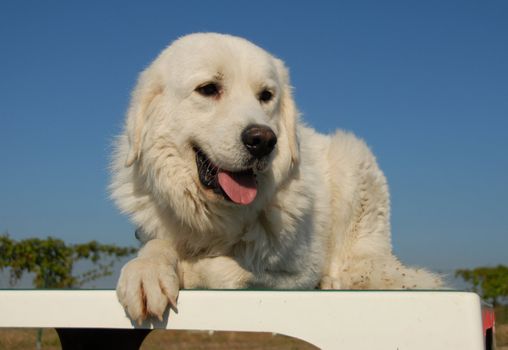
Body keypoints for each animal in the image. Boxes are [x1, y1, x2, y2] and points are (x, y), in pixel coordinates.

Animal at [110, 32, 440, 322]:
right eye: (209, 89)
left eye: (266, 96)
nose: (263, 140)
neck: (217, 220)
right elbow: (156, 246)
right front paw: (146, 272)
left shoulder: (299, 272)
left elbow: (227, 272)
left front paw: (188, 270)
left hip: (351, 156)